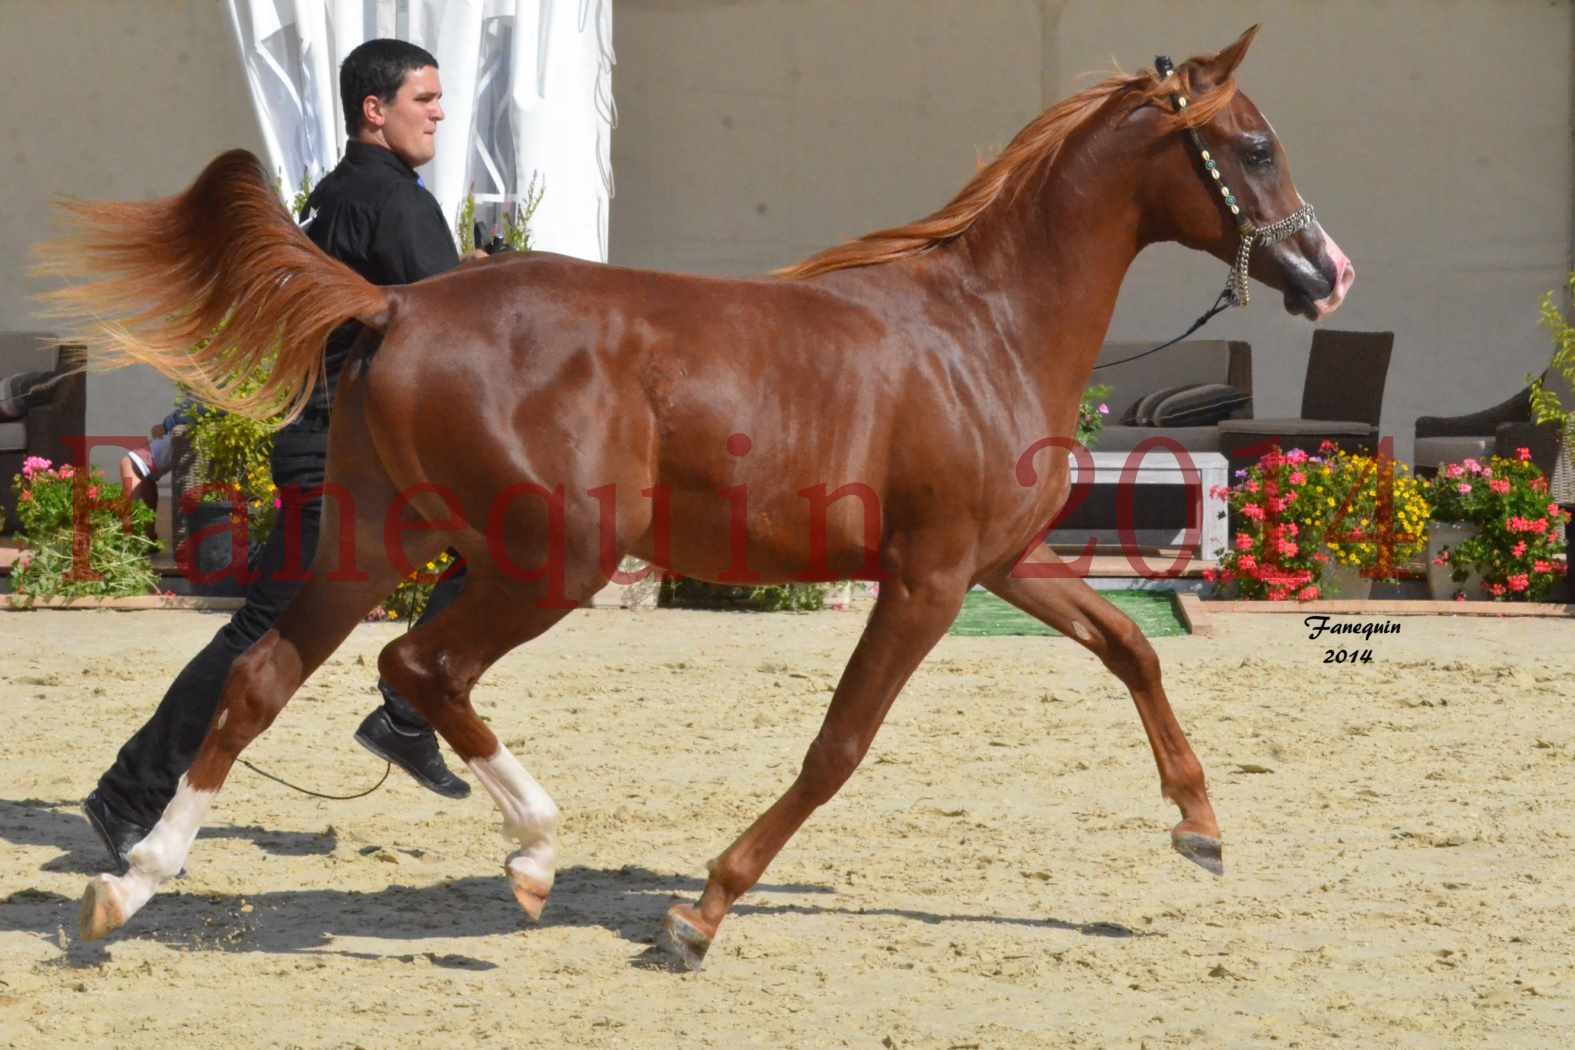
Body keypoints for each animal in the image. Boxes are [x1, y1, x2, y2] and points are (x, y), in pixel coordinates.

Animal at [49, 28, 1354, 969]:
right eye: (1250, 148)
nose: (1328, 272)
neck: (980, 328)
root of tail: (397, 304)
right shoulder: (929, 581)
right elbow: (838, 747)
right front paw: (698, 914)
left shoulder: (998, 564)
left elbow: (1133, 643)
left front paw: (1200, 829)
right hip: (553, 556)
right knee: (418, 667)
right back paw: (532, 852)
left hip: (373, 538)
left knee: (264, 675)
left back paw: (130, 884)